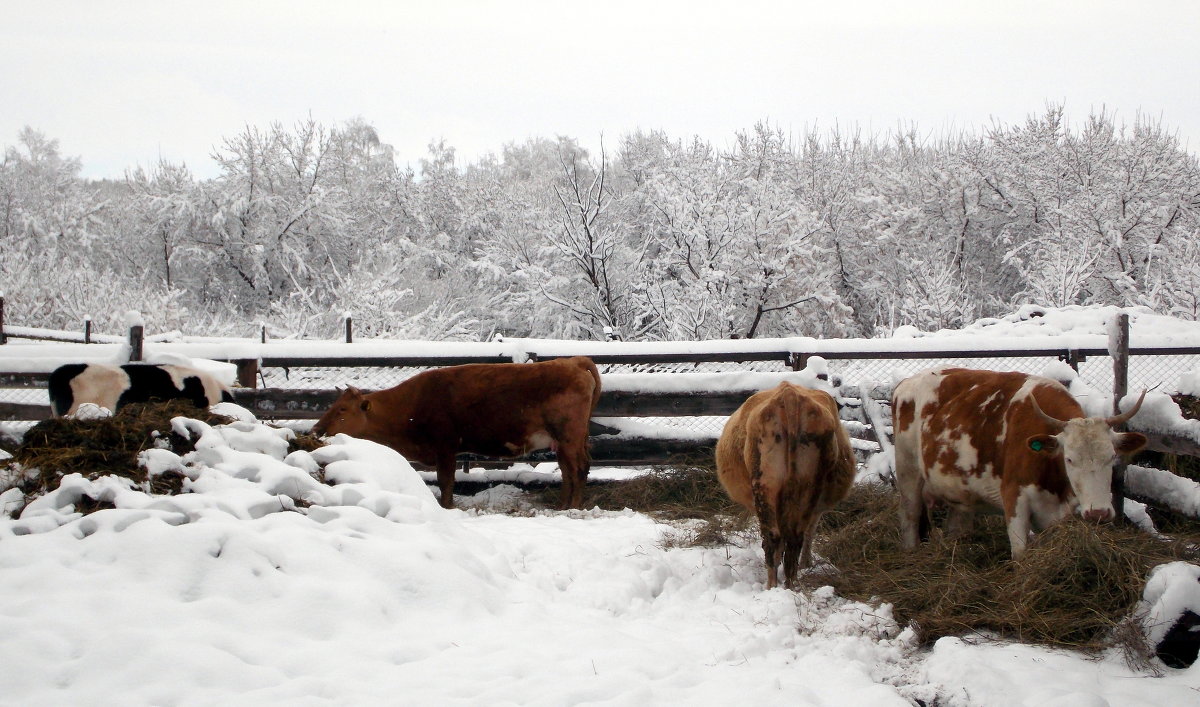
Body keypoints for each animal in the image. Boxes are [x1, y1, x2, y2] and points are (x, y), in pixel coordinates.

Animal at [314, 355, 604, 508]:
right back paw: (562, 505)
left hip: (569, 437)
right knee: (567, 471)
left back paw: (573, 507)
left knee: (579, 468)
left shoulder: (445, 448)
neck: (413, 403)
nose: (317, 429)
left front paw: (447, 506)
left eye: (342, 409)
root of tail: (573, 361)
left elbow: (446, 480)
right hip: (562, 441)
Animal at [710, 384, 854, 588]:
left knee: (773, 539)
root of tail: (789, 393)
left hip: (764, 487)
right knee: (794, 539)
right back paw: (790, 584)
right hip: (808, 488)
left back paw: (772, 586)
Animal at [897, 369, 1147, 556]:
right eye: (1069, 459)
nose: (1099, 513)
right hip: (908, 472)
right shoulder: (1014, 499)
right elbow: (1019, 555)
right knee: (910, 516)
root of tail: (906, 383)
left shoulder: (1057, 514)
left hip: (958, 489)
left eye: (1112, 456)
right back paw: (910, 552)